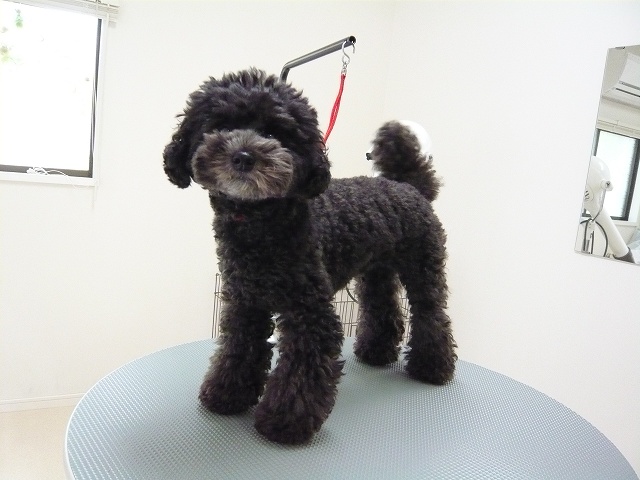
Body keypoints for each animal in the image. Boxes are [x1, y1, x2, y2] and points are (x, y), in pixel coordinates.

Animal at [163, 68, 456, 445]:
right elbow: (239, 348)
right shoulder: (245, 302)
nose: (243, 157)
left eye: (274, 132)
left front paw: (284, 421)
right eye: (220, 125)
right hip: (375, 271)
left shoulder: (310, 310)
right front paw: (227, 394)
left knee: (431, 313)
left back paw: (431, 368)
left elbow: (302, 368)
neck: (262, 223)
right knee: (383, 308)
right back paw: (376, 352)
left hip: (422, 265)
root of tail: (410, 186)